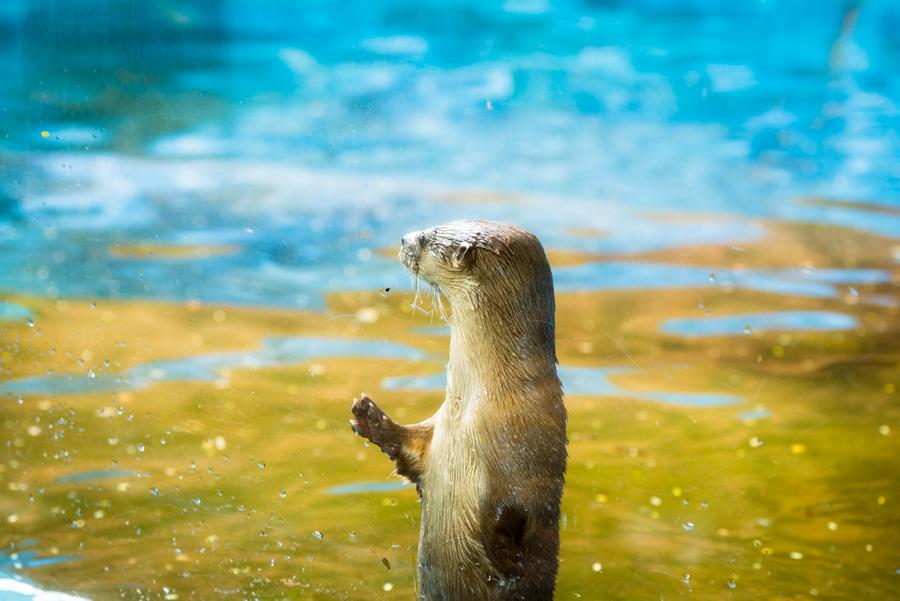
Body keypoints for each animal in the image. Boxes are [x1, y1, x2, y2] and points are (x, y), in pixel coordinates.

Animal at [348, 220, 568, 600]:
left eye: (426, 238)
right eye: (428, 228)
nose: (404, 239)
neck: (475, 406)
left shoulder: (526, 457)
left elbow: (513, 515)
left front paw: (511, 563)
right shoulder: (437, 436)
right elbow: (410, 450)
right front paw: (370, 417)